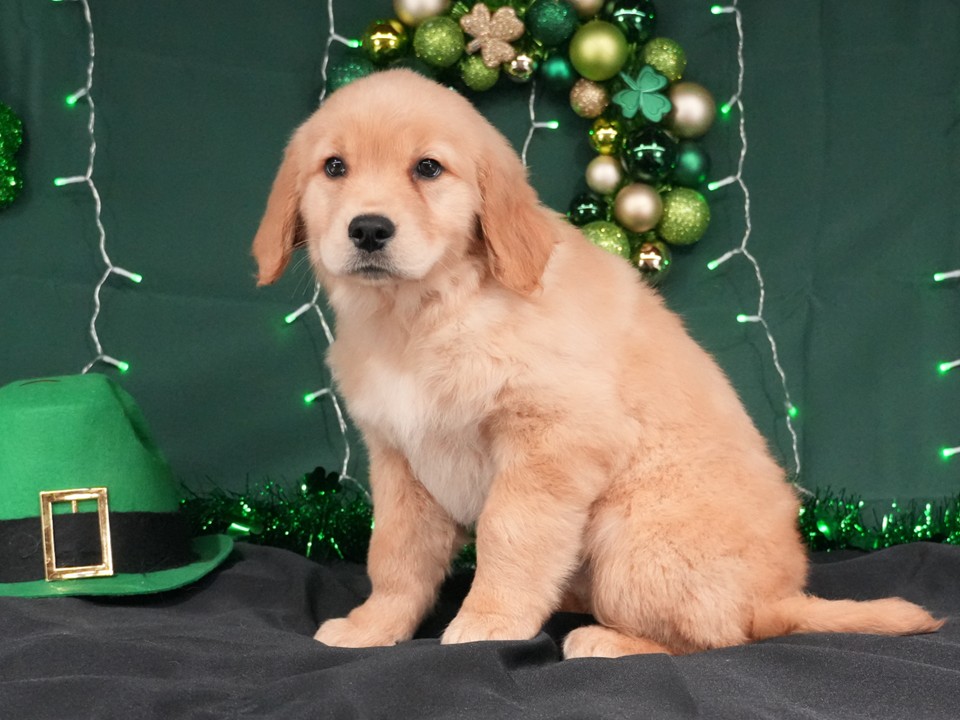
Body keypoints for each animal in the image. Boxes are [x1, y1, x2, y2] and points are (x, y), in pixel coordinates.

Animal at [252, 69, 942, 658]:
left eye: (428, 168)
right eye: (334, 167)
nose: (369, 229)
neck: (424, 315)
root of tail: (780, 600)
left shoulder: (552, 440)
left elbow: (509, 536)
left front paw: (488, 622)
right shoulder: (399, 455)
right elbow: (394, 552)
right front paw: (376, 625)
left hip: (632, 536)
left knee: (719, 637)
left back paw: (608, 640)